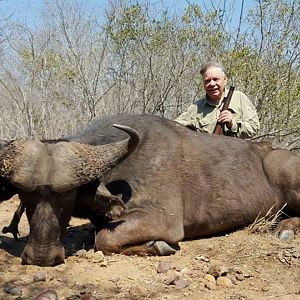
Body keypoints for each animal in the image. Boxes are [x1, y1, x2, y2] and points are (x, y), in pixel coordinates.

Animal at [0, 114, 300, 264]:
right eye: (24, 196)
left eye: (67, 196)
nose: (41, 257)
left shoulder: (161, 220)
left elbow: (103, 239)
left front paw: (158, 246)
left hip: (284, 169)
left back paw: (284, 229)